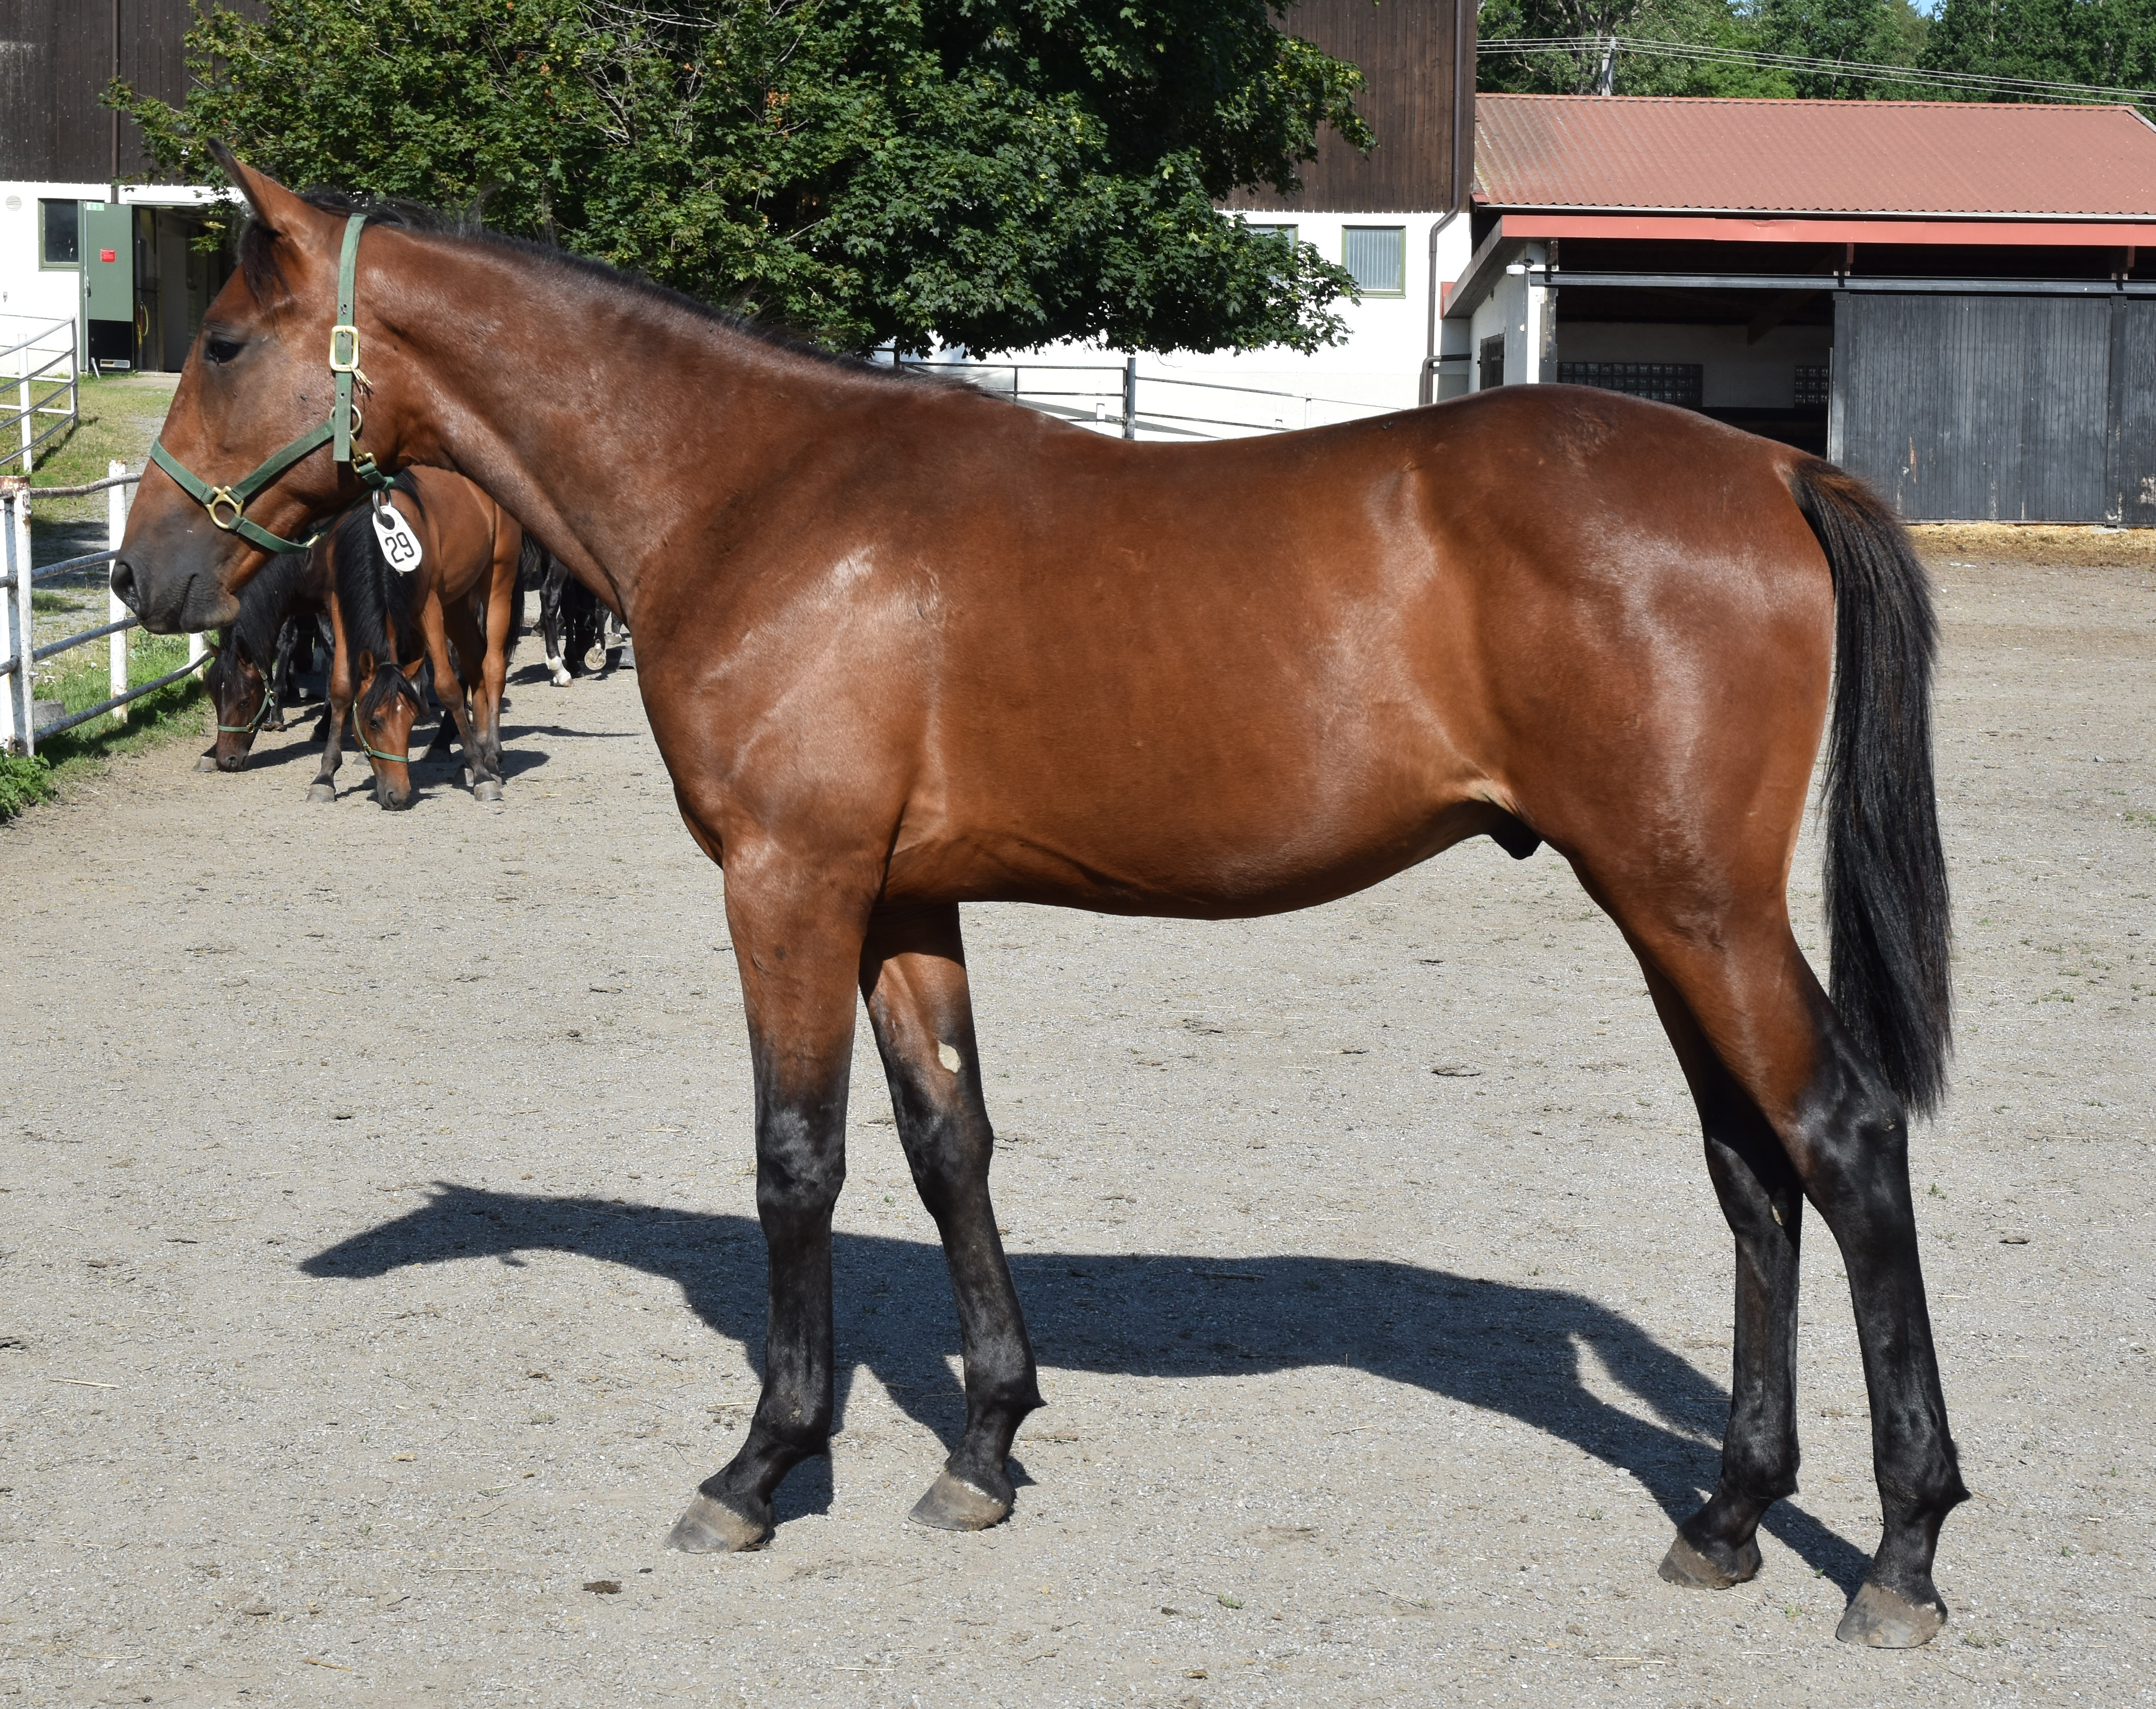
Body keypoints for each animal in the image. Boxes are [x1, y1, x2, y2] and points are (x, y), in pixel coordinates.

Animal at [113, 156, 1975, 1638]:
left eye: (223, 342)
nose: (141, 570)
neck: (753, 488)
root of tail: (1767, 472)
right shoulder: (898, 904)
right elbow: (951, 1144)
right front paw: (986, 1448)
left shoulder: (788, 885)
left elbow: (797, 1162)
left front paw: (761, 1465)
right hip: (1658, 908)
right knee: (1750, 1176)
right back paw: (1726, 1516)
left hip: (1695, 904)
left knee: (1841, 1141)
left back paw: (1897, 1553)